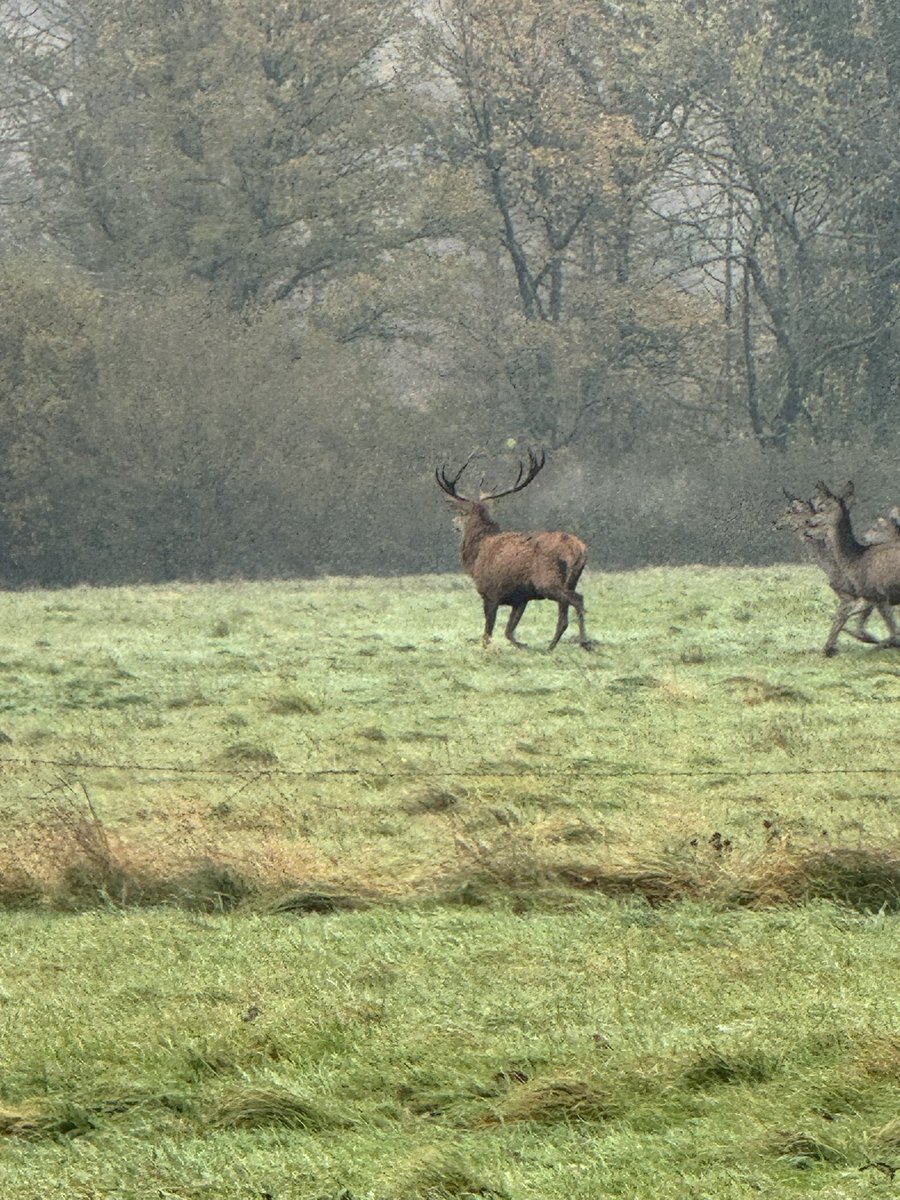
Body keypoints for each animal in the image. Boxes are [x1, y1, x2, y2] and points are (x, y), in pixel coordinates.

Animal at [436, 449, 593, 651]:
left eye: (462, 513)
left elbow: (487, 634)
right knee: (564, 613)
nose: (453, 524)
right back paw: (551, 646)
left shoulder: (490, 593)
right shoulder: (520, 599)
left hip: (548, 581)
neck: (475, 558)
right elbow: (508, 632)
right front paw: (524, 645)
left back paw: (584, 642)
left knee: (577, 600)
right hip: (570, 580)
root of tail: (577, 549)